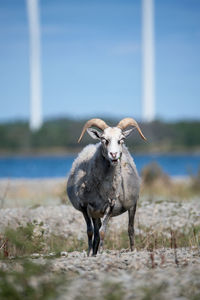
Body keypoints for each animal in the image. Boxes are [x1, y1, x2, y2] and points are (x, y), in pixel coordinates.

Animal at [66, 118, 146, 255]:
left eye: (122, 139)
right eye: (104, 139)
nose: (114, 155)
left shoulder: (110, 204)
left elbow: (103, 232)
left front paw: (101, 252)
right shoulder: (84, 206)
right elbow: (90, 232)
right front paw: (90, 253)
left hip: (132, 204)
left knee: (130, 229)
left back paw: (132, 249)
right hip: (95, 212)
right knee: (95, 231)